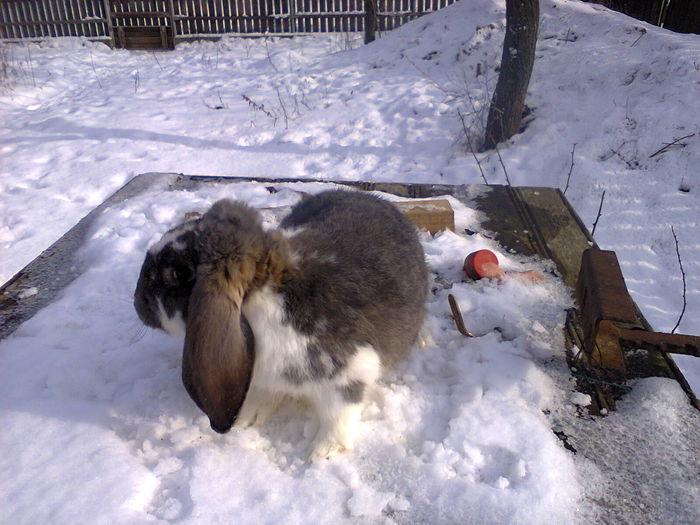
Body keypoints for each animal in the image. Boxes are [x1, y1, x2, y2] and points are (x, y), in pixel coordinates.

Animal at [131, 188, 426, 454]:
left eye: (177, 273)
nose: (136, 302)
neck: (262, 294)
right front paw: (248, 418)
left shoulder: (349, 372)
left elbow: (339, 414)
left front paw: (324, 452)